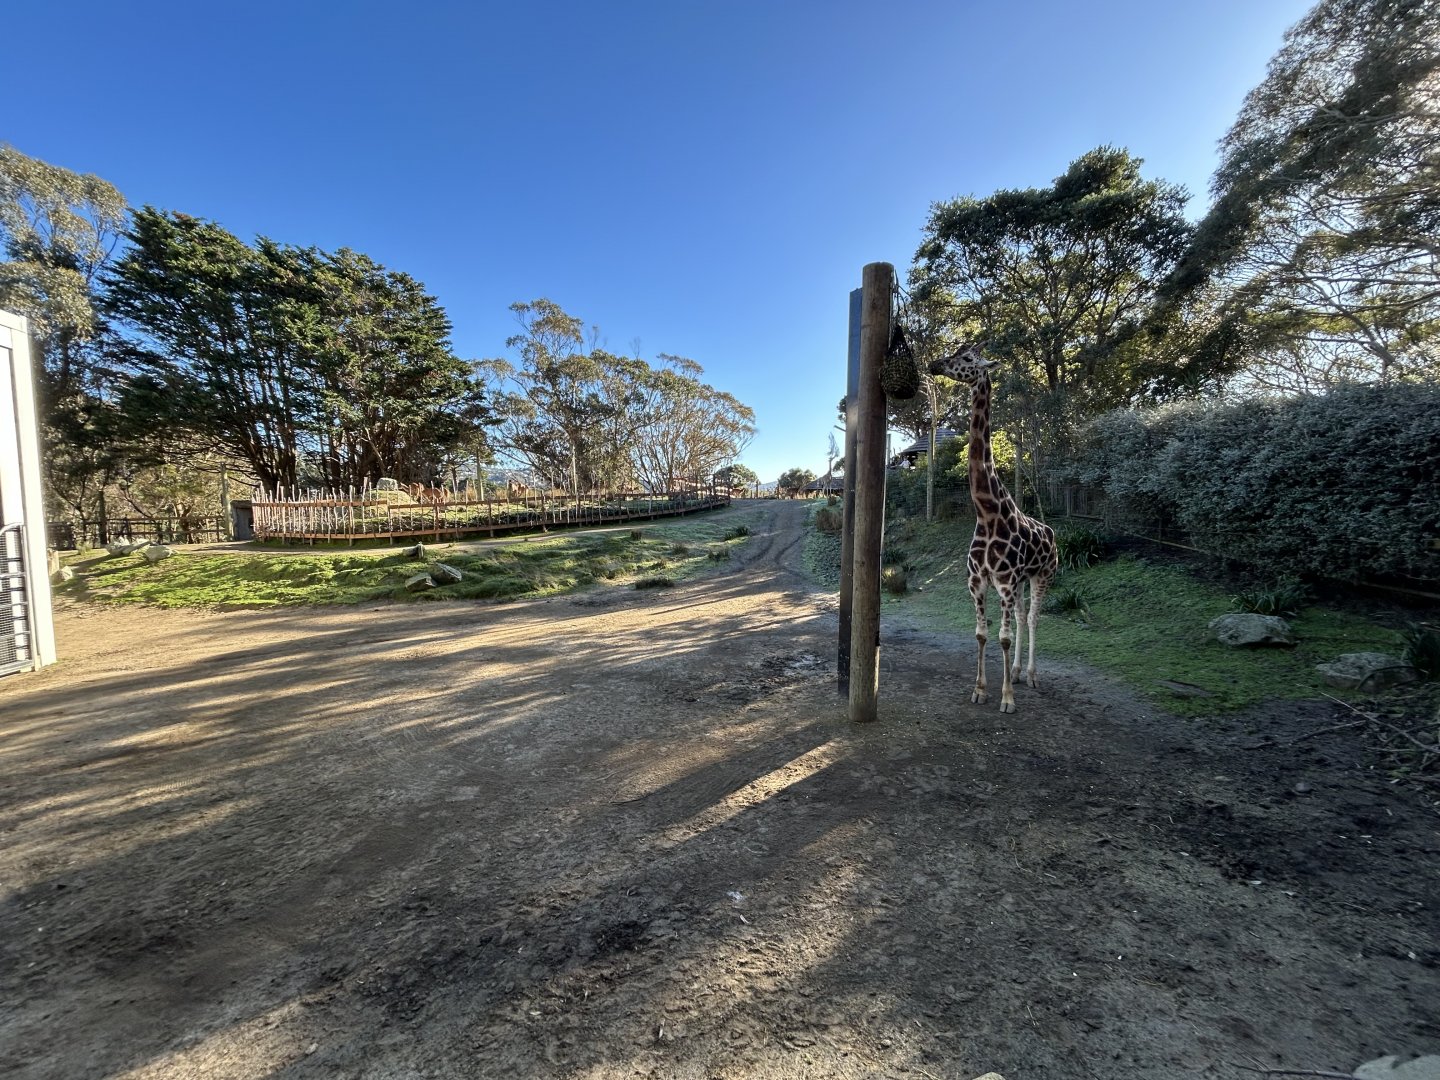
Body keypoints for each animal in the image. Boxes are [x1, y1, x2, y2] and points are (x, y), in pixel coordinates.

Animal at [928, 344, 1059, 713]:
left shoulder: (1004, 581)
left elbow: (1003, 637)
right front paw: (980, 690)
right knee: (1021, 616)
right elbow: (983, 634)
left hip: (1044, 574)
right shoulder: (978, 581)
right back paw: (1015, 672)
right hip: (1023, 580)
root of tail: (1052, 533)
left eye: (969, 359)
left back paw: (1031, 676)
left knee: (1032, 618)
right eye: (956, 352)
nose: (935, 364)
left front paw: (1007, 699)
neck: (986, 513)